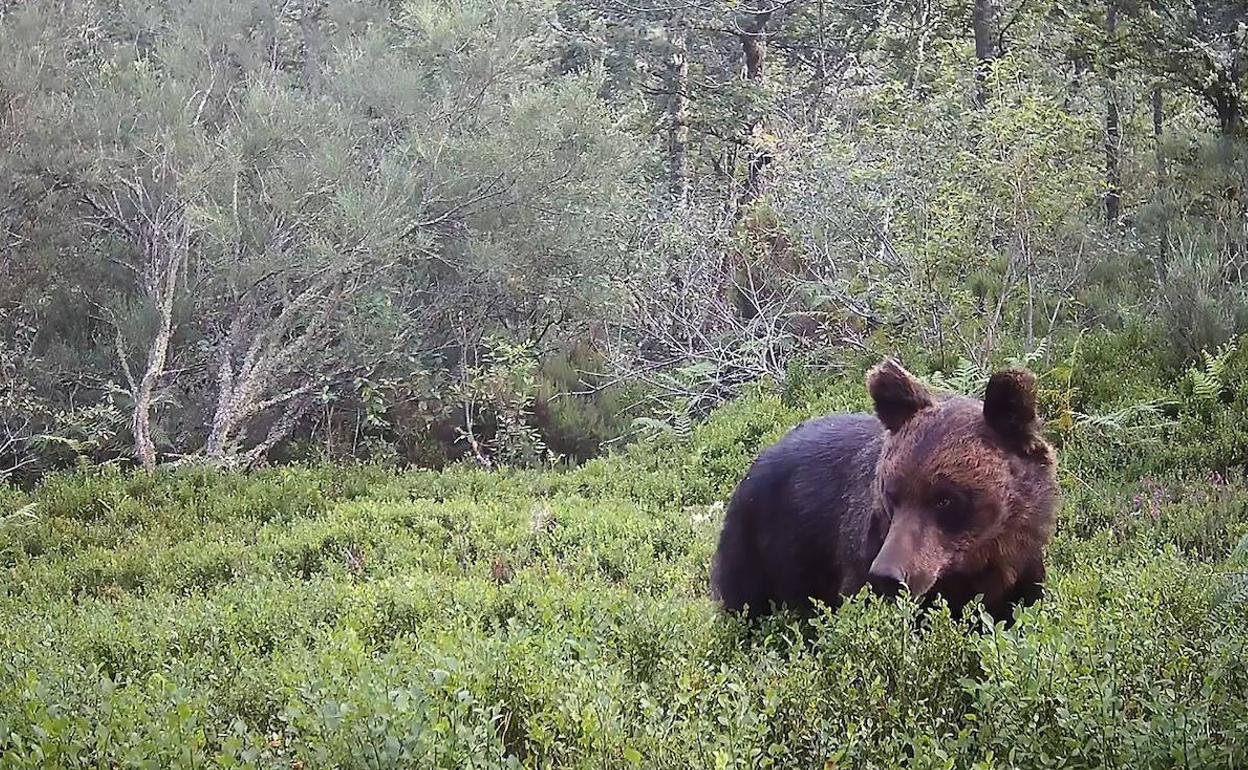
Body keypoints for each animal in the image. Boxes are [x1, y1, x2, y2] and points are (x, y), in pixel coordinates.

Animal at [709, 358, 1059, 624]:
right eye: (892, 495)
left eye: (945, 499)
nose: (887, 576)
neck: (982, 558)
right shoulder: (861, 557)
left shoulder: (1021, 569)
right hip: (761, 544)